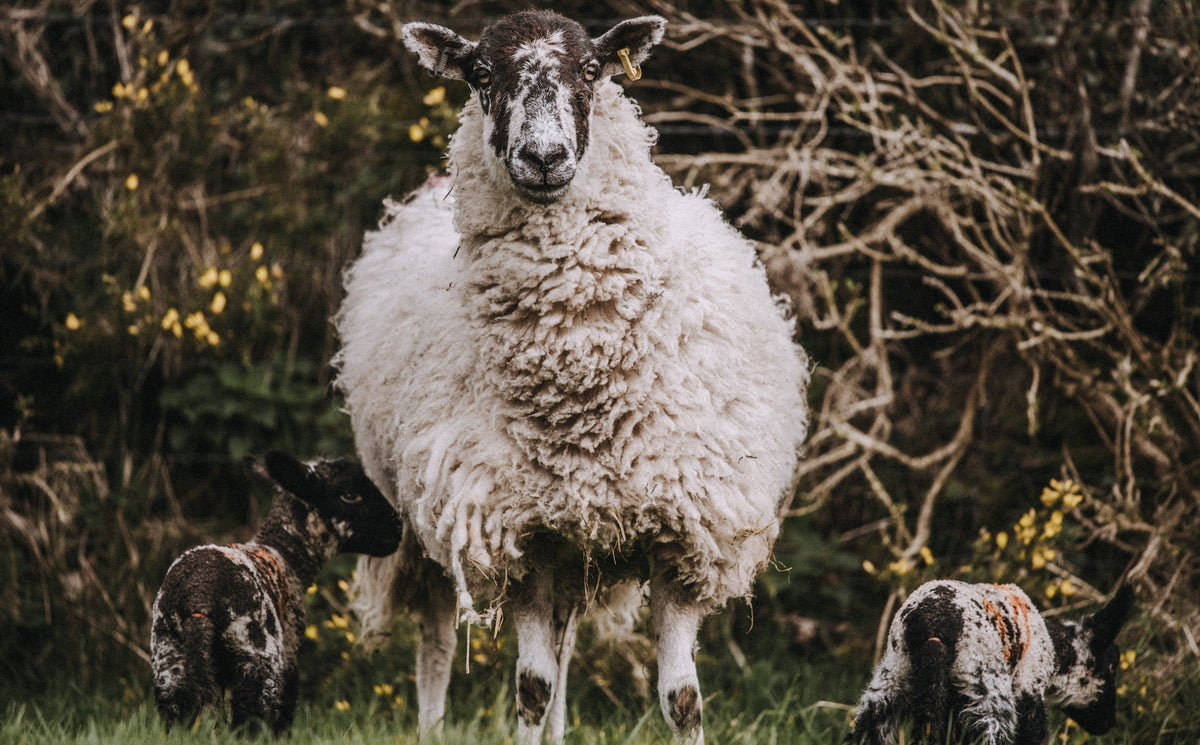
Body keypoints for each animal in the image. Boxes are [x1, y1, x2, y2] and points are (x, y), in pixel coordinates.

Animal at [150, 452, 403, 735]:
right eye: (349, 494)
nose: (397, 527)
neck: (285, 554)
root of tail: (198, 595)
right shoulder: (289, 650)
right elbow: (285, 709)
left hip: (169, 660)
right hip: (257, 652)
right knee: (250, 719)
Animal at [334, 11, 811, 744]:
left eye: (591, 70)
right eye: (480, 74)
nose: (544, 157)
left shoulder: (680, 538)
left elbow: (681, 698)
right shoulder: (517, 536)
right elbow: (529, 689)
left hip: (575, 544)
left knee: (562, 650)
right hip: (427, 518)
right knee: (440, 639)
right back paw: (433, 723)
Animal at [852, 580, 1135, 745]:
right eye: (1111, 665)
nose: (1108, 723)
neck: (1056, 653)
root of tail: (932, 625)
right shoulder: (1029, 689)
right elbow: (1036, 736)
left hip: (891, 681)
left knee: (867, 731)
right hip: (988, 690)